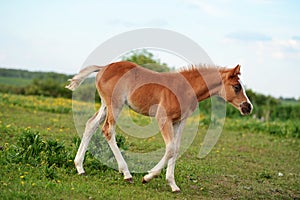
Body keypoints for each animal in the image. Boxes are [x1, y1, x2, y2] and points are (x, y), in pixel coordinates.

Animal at [66, 61, 253, 192]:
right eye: (237, 87)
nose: (248, 107)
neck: (185, 88)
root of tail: (103, 67)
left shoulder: (180, 121)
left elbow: (176, 149)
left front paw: (173, 185)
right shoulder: (163, 118)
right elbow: (170, 149)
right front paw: (148, 177)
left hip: (106, 105)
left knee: (91, 124)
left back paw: (80, 167)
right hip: (115, 105)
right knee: (108, 130)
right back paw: (126, 174)